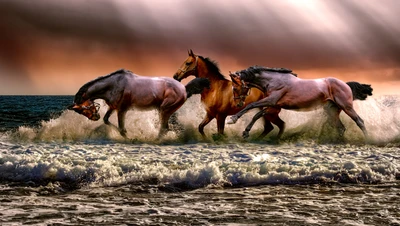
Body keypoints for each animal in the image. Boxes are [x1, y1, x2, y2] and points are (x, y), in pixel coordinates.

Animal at [68, 68, 209, 138]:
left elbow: (121, 129)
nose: (94, 117)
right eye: (80, 111)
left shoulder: (122, 109)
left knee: (164, 128)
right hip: (165, 111)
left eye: (83, 108)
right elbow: (106, 120)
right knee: (165, 128)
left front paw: (130, 138)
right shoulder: (113, 107)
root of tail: (184, 88)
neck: (113, 85)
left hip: (164, 109)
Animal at [227, 65, 374, 139]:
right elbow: (257, 114)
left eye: (235, 87)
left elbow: (252, 106)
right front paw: (245, 132)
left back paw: (368, 140)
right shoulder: (273, 106)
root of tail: (345, 84)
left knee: (359, 121)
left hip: (346, 107)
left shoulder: (271, 101)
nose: (238, 104)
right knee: (341, 127)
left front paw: (232, 119)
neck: (273, 80)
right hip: (332, 111)